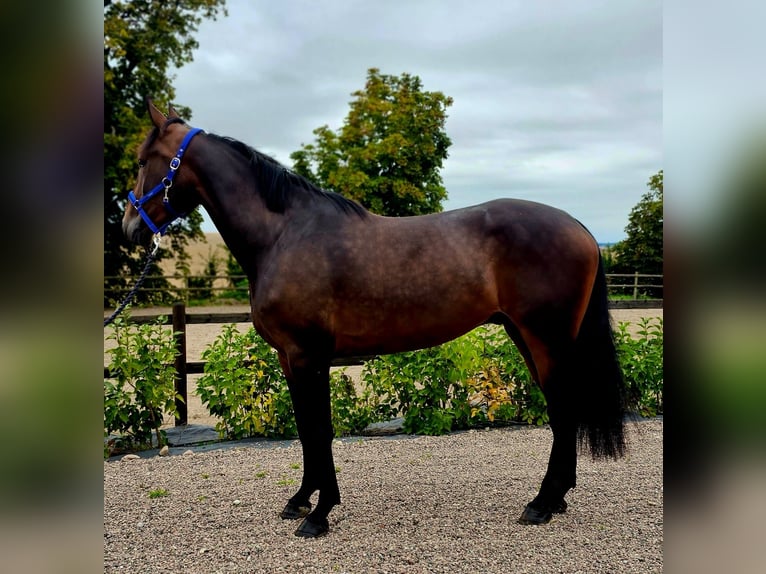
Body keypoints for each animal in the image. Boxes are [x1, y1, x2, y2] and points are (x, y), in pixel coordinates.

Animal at [123, 102, 632, 540]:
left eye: (145, 159)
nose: (129, 227)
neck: (284, 234)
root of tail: (581, 229)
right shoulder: (292, 359)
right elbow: (306, 432)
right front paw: (301, 499)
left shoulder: (308, 357)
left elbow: (319, 431)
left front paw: (319, 514)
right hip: (525, 335)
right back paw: (555, 500)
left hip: (545, 339)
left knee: (563, 409)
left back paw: (542, 504)